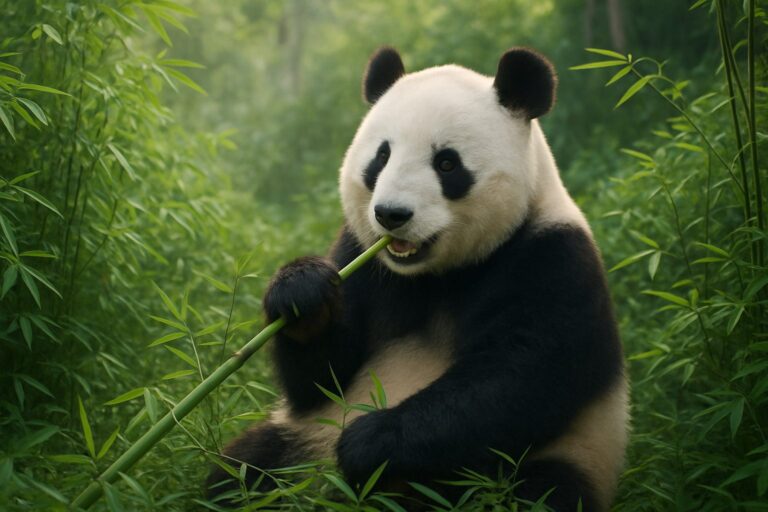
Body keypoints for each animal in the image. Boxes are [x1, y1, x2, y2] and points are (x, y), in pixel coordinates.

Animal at [207, 47, 629, 511]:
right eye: (381, 157)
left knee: (541, 492)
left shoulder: (552, 259)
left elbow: (521, 376)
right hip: (299, 443)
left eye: (446, 163)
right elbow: (321, 380)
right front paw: (302, 292)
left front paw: (370, 442)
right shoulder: (359, 256)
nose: (391, 214)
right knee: (244, 471)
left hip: (559, 459)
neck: (435, 275)